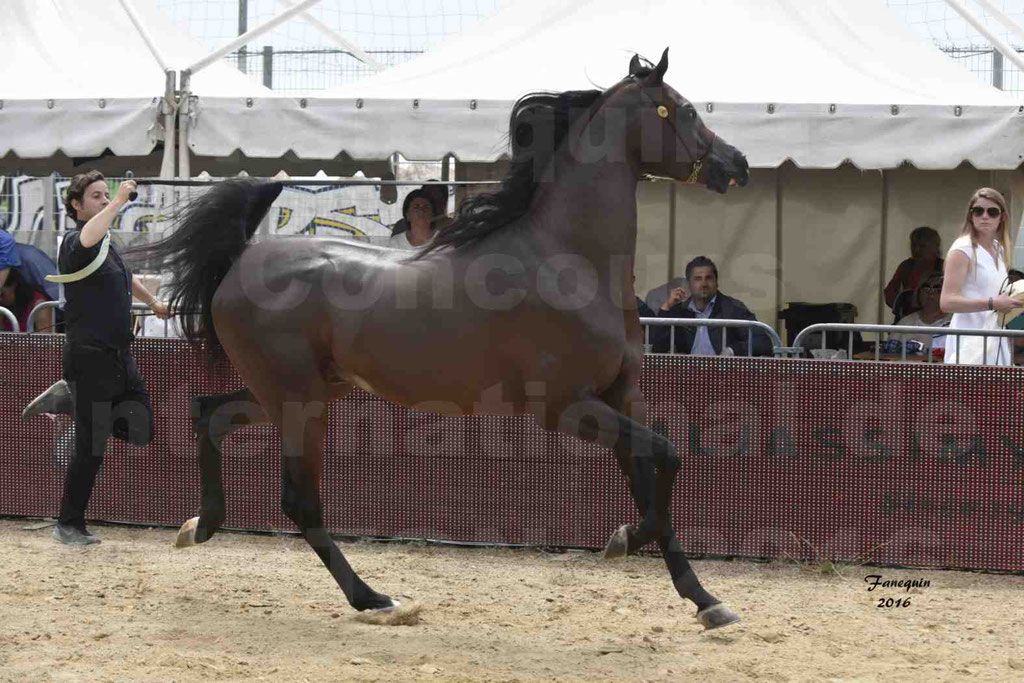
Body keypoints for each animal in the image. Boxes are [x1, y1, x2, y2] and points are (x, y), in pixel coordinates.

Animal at [138, 49, 753, 630]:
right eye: (686, 109)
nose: (738, 165)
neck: (567, 259)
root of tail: (240, 260)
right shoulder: (565, 407)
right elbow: (667, 459)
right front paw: (623, 542)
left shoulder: (621, 396)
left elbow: (654, 475)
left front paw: (705, 600)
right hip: (298, 401)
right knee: (299, 501)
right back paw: (376, 599)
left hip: (300, 391)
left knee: (209, 414)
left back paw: (199, 526)